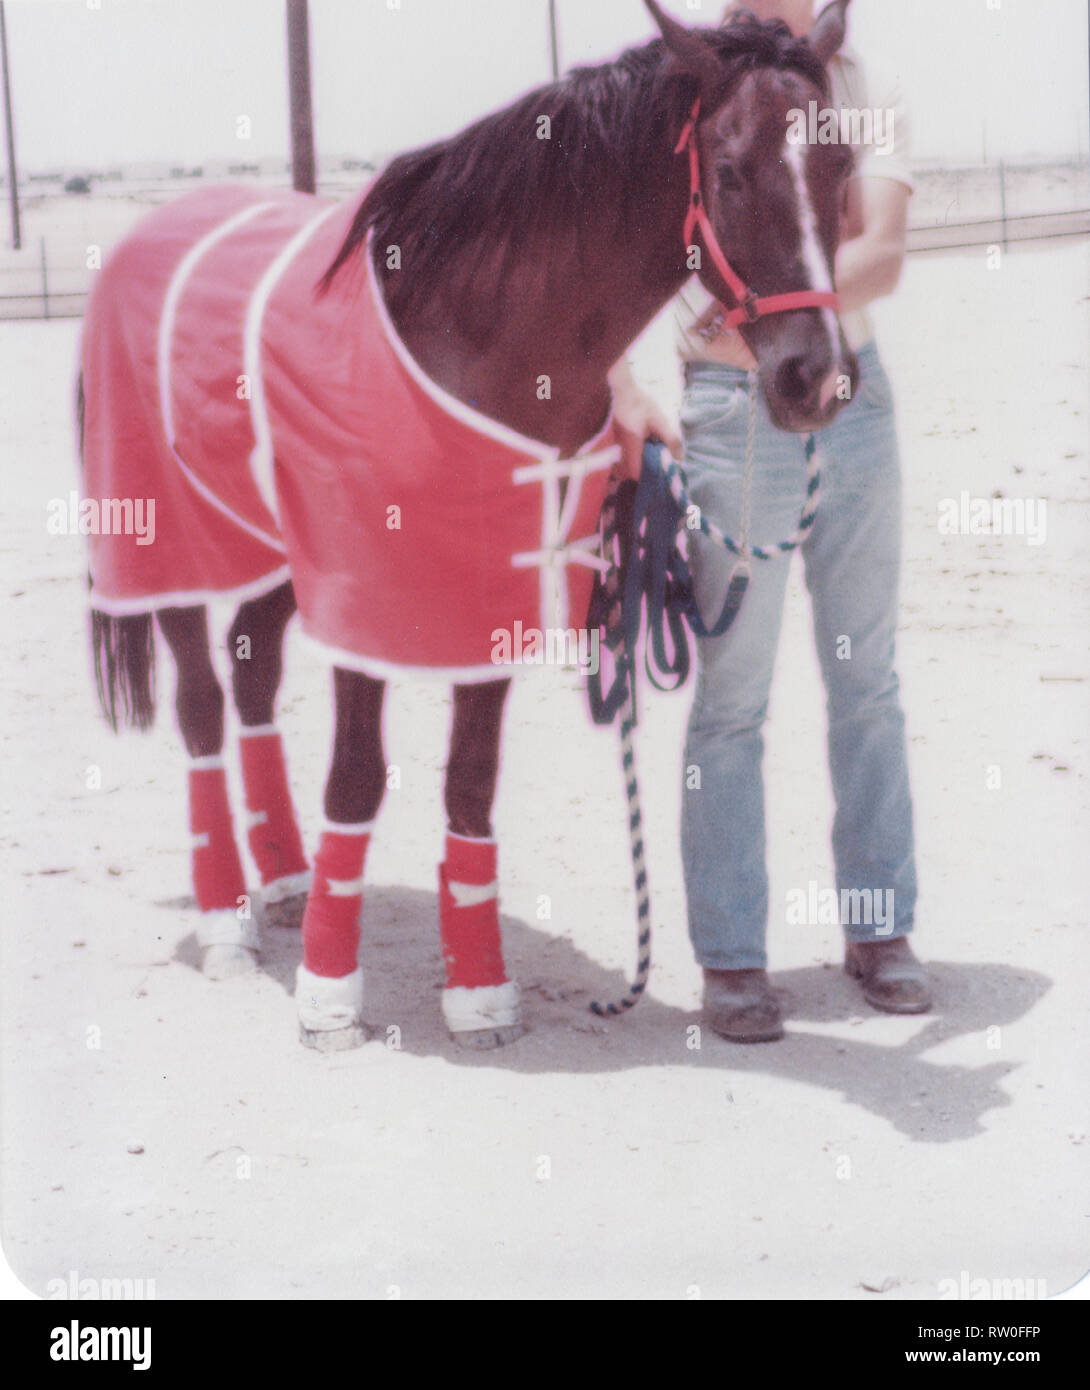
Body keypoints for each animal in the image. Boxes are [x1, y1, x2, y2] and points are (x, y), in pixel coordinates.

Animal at [78, 0, 861, 1045]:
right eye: (729, 170)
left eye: (842, 164)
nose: (815, 380)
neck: (470, 330)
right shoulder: (368, 601)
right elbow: (357, 778)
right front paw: (331, 992)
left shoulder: (491, 592)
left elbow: (471, 781)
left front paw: (478, 990)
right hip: (176, 549)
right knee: (202, 706)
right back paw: (227, 923)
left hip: (281, 561)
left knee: (251, 680)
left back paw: (282, 879)